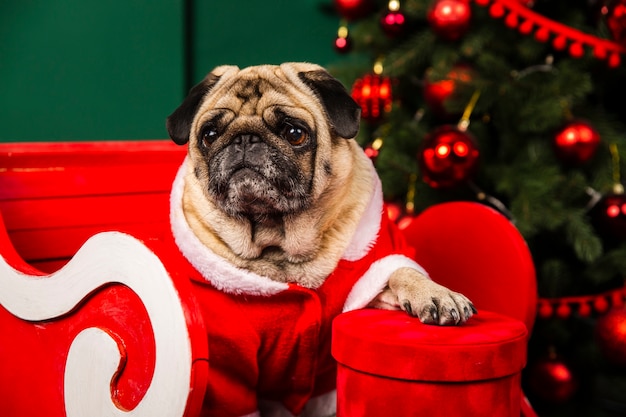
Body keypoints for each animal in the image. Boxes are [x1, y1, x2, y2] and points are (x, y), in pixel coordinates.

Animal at [166, 62, 472, 416]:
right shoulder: (231, 364)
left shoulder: (370, 284)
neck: (278, 242)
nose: (244, 138)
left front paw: (436, 294)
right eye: (210, 135)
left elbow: (403, 271)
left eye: (294, 133)